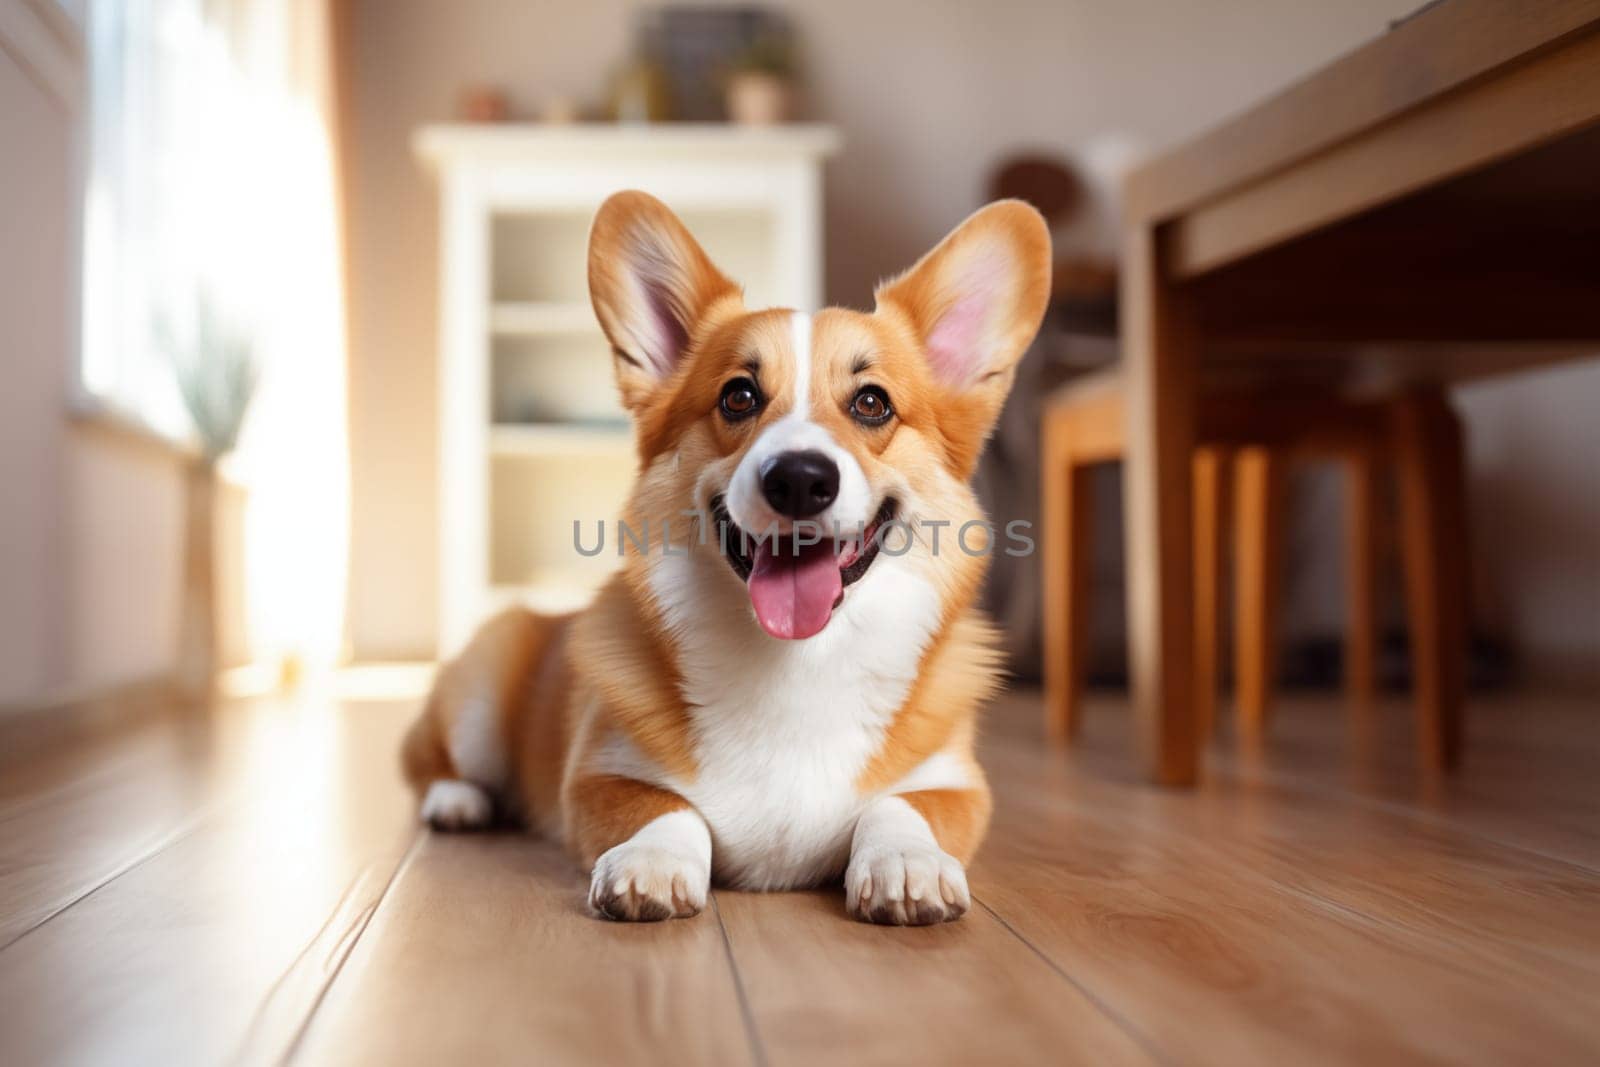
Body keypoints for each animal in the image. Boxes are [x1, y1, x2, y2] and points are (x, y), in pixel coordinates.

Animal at [400, 187, 1049, 921]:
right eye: (738, 396)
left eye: (872, 402)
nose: (799, 478)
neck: (796, 665)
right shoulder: (599, 773)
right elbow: (668, 807)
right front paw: (652, 863)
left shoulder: (955, 781)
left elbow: (902, 806)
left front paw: (907, 864)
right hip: (481, 694)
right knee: (430, 761)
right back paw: (456, 801)